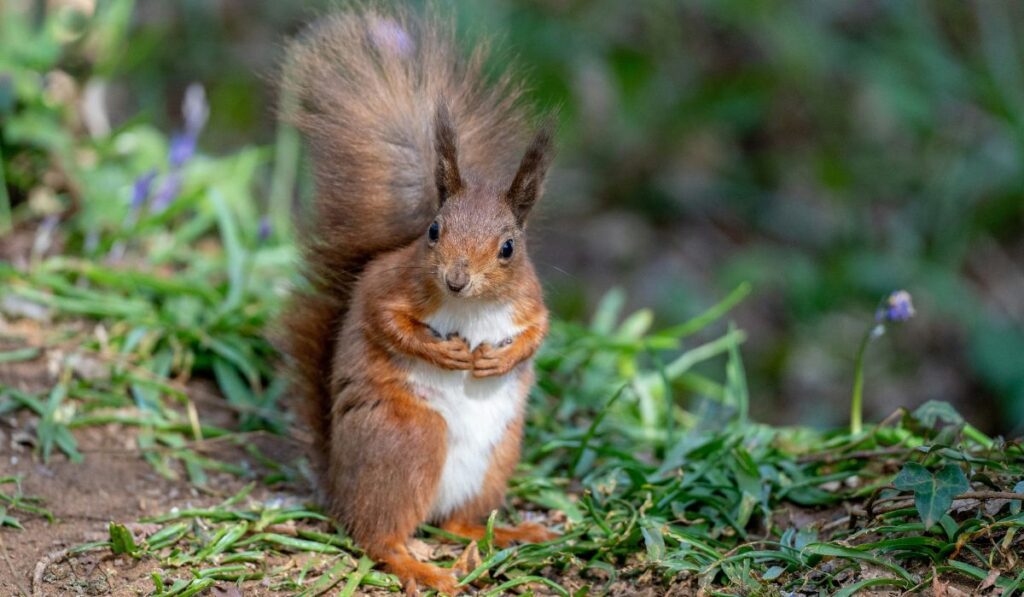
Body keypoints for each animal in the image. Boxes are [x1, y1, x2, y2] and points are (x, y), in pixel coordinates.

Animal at [277, 7, 556, 594]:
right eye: (433, 230)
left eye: (508, 248)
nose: (455, 280)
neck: (470, 308)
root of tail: (339, 487)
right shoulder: (390, 283)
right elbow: (383, 319)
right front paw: (442, 352)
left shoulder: (530, 299)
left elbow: (539, 332)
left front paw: (500, 360)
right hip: (411, 439)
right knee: (378, 538)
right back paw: (423, 568)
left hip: (495, 460)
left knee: (455, 523)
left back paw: (510, 534)